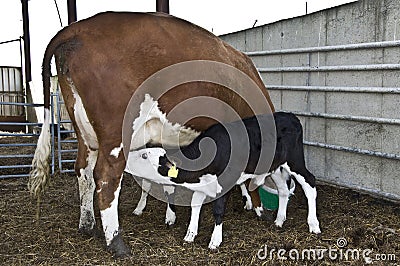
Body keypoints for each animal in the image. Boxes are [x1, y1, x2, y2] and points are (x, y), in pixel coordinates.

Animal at [27, 11, 272, 256]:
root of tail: (76, 28)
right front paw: (257, 207)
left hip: (85, 132)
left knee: (83, 171)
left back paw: (88, 226)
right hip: (116, 133)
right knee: (106, 176)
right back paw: (116, 242)